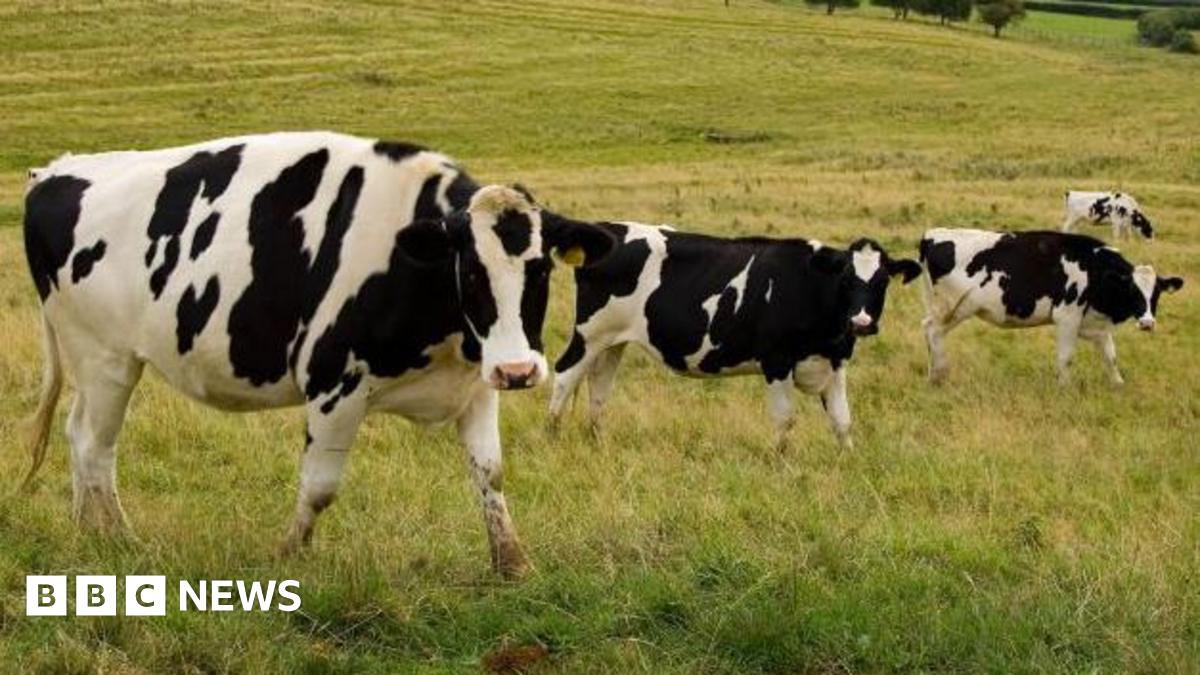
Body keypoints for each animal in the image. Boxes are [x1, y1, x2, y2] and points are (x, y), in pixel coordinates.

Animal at [21, 131, 615, 578]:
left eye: (541, 268)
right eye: (470, 270)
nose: (519, 371)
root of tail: (58, 170)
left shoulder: (475, 384)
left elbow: (490, 475)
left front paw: (512, 563)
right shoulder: (335, 386)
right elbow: (321, 487)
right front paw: (288, 555)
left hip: (95, 363)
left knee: (76, 434)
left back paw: (86, 532)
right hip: (106, 358)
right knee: (96, 447)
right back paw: (121, 539)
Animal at [546, 222, 922, 450]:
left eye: (883, 281)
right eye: (845, 278)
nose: (862, 321)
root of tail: (608, 229)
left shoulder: (835, 362)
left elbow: (843, 421)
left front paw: (848, 460)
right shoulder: (776, 361)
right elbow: (785, 418)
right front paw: (781, 464)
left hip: (613, 341)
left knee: (598, 387)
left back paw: (598, 441)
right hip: (590, 333)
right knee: (564, 374)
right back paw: (552, 435)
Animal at [918, 228, 1183, 386]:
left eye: (1156, 294)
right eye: (1132, 291)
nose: (1147, 323)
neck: (1095, 270)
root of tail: (933, 234)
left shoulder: (1095, 324)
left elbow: (1111, 356)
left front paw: (1118, 385)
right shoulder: (1067, 317)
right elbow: (1066, 357)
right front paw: (1065, 388)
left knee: (928, 330)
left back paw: (934, 374)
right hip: (953, 308)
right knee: (933, 332)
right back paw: (939, 375)